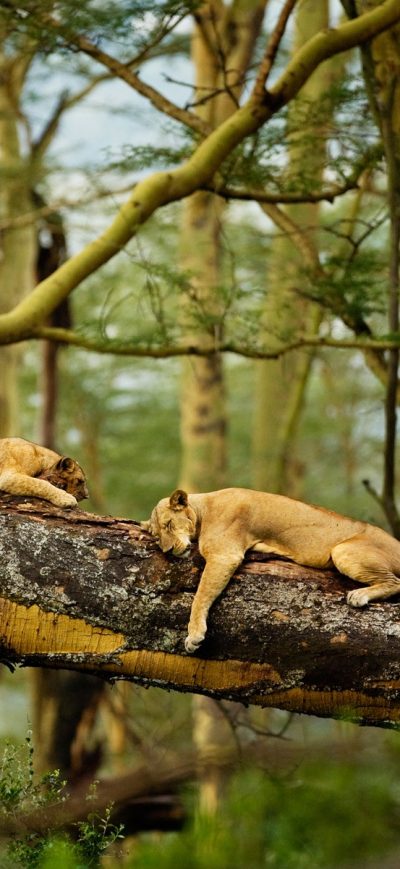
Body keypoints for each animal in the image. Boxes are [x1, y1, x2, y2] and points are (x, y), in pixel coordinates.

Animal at [143, 487, 400, 653]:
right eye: (157, 536)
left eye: (168, 524)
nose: (168, 550)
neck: (203, 509)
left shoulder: (224, 554)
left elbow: (200, 596)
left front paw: (194, 635)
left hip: (343, 551)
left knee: (395, 582)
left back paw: (359, 595)